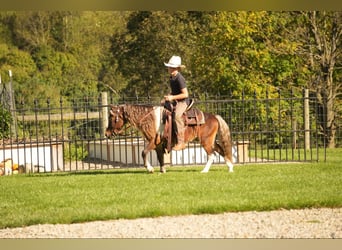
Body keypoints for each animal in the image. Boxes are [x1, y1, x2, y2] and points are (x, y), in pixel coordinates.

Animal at [105, 103, 234, 174]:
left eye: (111, 117)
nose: (107, 134)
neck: (151, 119)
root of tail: (214, 116)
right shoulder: (158, 144)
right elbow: (159, 157)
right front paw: (162, 170)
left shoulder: (153, 141)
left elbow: (143, 152)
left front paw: (150, 169)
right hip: (210, 141)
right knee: (221, 150)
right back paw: (230, 168)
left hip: (205, 141)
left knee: (212, 155)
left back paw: (205, 171)